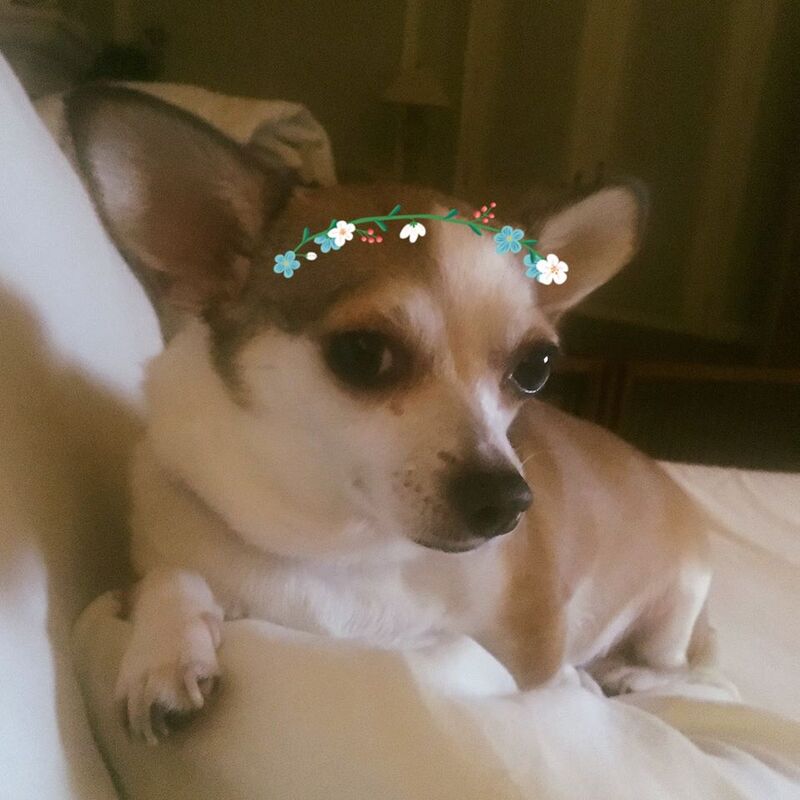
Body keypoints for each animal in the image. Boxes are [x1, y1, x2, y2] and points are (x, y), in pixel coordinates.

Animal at [66, 85, 721, 744]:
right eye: (362, 354)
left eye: (534, 368)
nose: (508, 500)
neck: (338, 552)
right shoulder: (153, 557)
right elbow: (169, 576)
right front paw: (165, 655)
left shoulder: (532, 653)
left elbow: (549, 678)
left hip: (678, 598)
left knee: (687, 667)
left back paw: (627, 673)